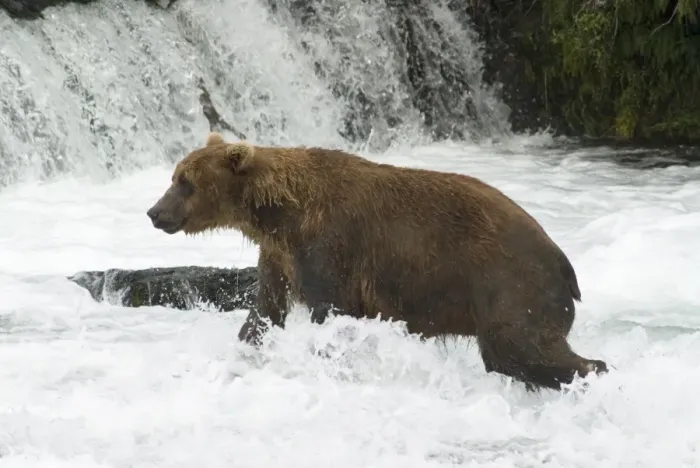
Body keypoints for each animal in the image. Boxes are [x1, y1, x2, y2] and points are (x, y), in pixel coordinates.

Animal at [146, 132, 609, 391]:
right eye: (174, 177)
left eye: (185, 182)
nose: (154, 212)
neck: (278, 213)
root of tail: (562, 260)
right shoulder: (279, 255)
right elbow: (265, 311)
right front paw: (245, 352)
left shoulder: (328, 246)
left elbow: (332, 311)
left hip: (509, 281)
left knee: (519, 345)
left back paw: (593, 372)